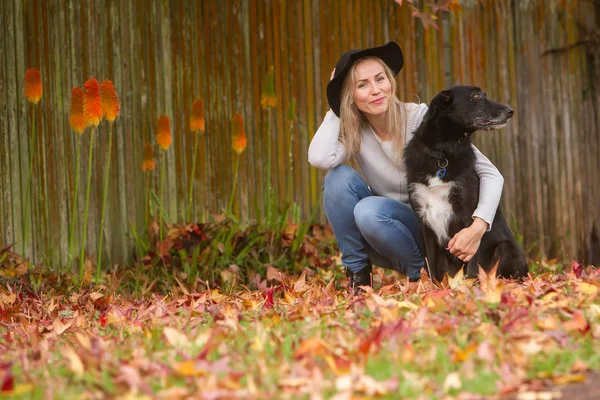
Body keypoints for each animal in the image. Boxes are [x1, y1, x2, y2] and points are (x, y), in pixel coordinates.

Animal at [406, 86, 528, 282]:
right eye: (476, 96)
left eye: (484, 95)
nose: (510, 111)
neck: (443, 154)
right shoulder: (424, 220)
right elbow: (431, 265)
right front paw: (430, 287)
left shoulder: (467, 219)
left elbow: (471, 265)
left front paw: (468, 287)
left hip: (506, 249)